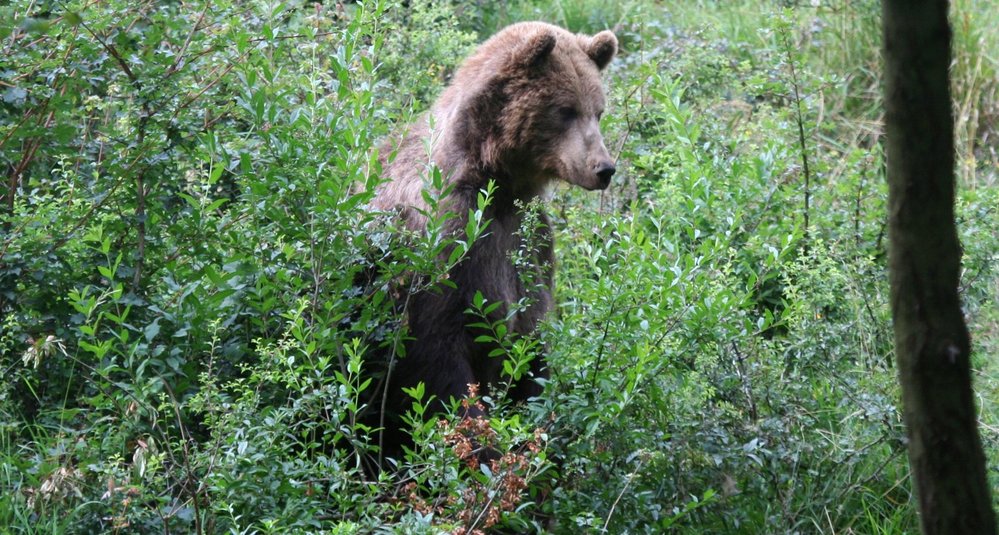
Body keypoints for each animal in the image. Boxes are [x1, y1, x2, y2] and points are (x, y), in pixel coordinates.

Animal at [372, 22, 616, 460]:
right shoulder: (448, 240)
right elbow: (439, 356)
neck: (494, 179)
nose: (603, 168)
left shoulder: (527, 238)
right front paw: (480, 446)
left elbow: (530, 339)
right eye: (565, 110)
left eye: (598, 110)